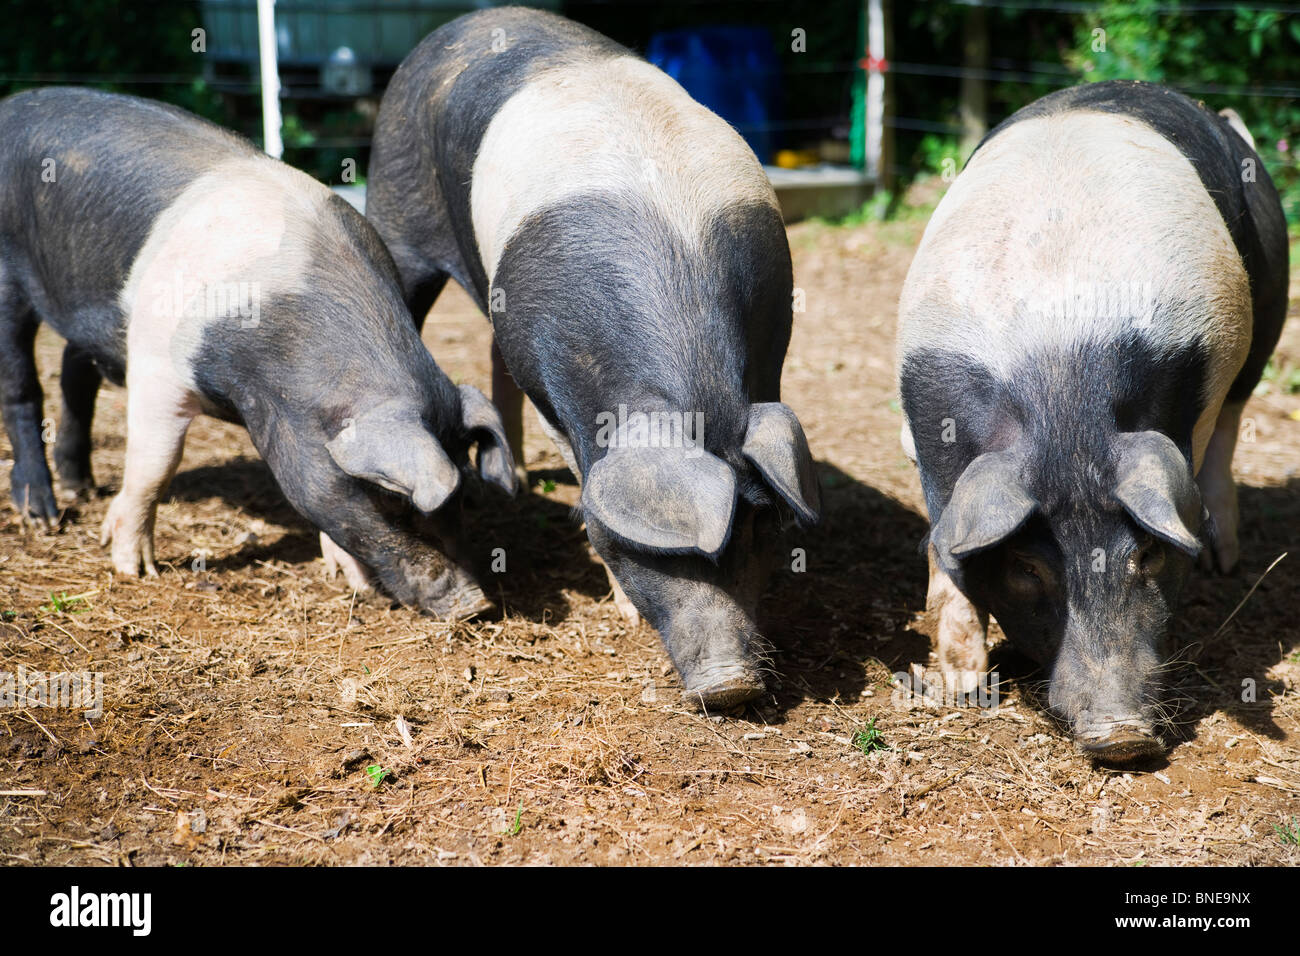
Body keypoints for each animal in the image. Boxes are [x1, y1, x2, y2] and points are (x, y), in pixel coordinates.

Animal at [0, 87, 516, 619]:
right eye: (392, 501)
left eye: (463, 497)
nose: (476, 604)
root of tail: (13, 105)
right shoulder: (158, 367)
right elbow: (156, 464)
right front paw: (134, 569)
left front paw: (347, 579)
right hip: (9, 275)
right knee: (21, 387)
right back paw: (42, 516)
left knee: (73, 372)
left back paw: (78, 488)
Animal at [365, 8, 821, 708]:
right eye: (655, 554)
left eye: (760, 527)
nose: (731, 686)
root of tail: (467, 21)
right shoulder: (559, 394)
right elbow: (586, 482)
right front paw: (624, 611)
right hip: (395, 204)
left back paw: (519, 481)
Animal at [898, 81, 1288, 760]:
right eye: (1028, 567)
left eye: (1148, 555)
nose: (1121, 736)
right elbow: (944, 544)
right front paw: (962, 690)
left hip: (1268, 310)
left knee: (1231, 428)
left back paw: (1226, 559)